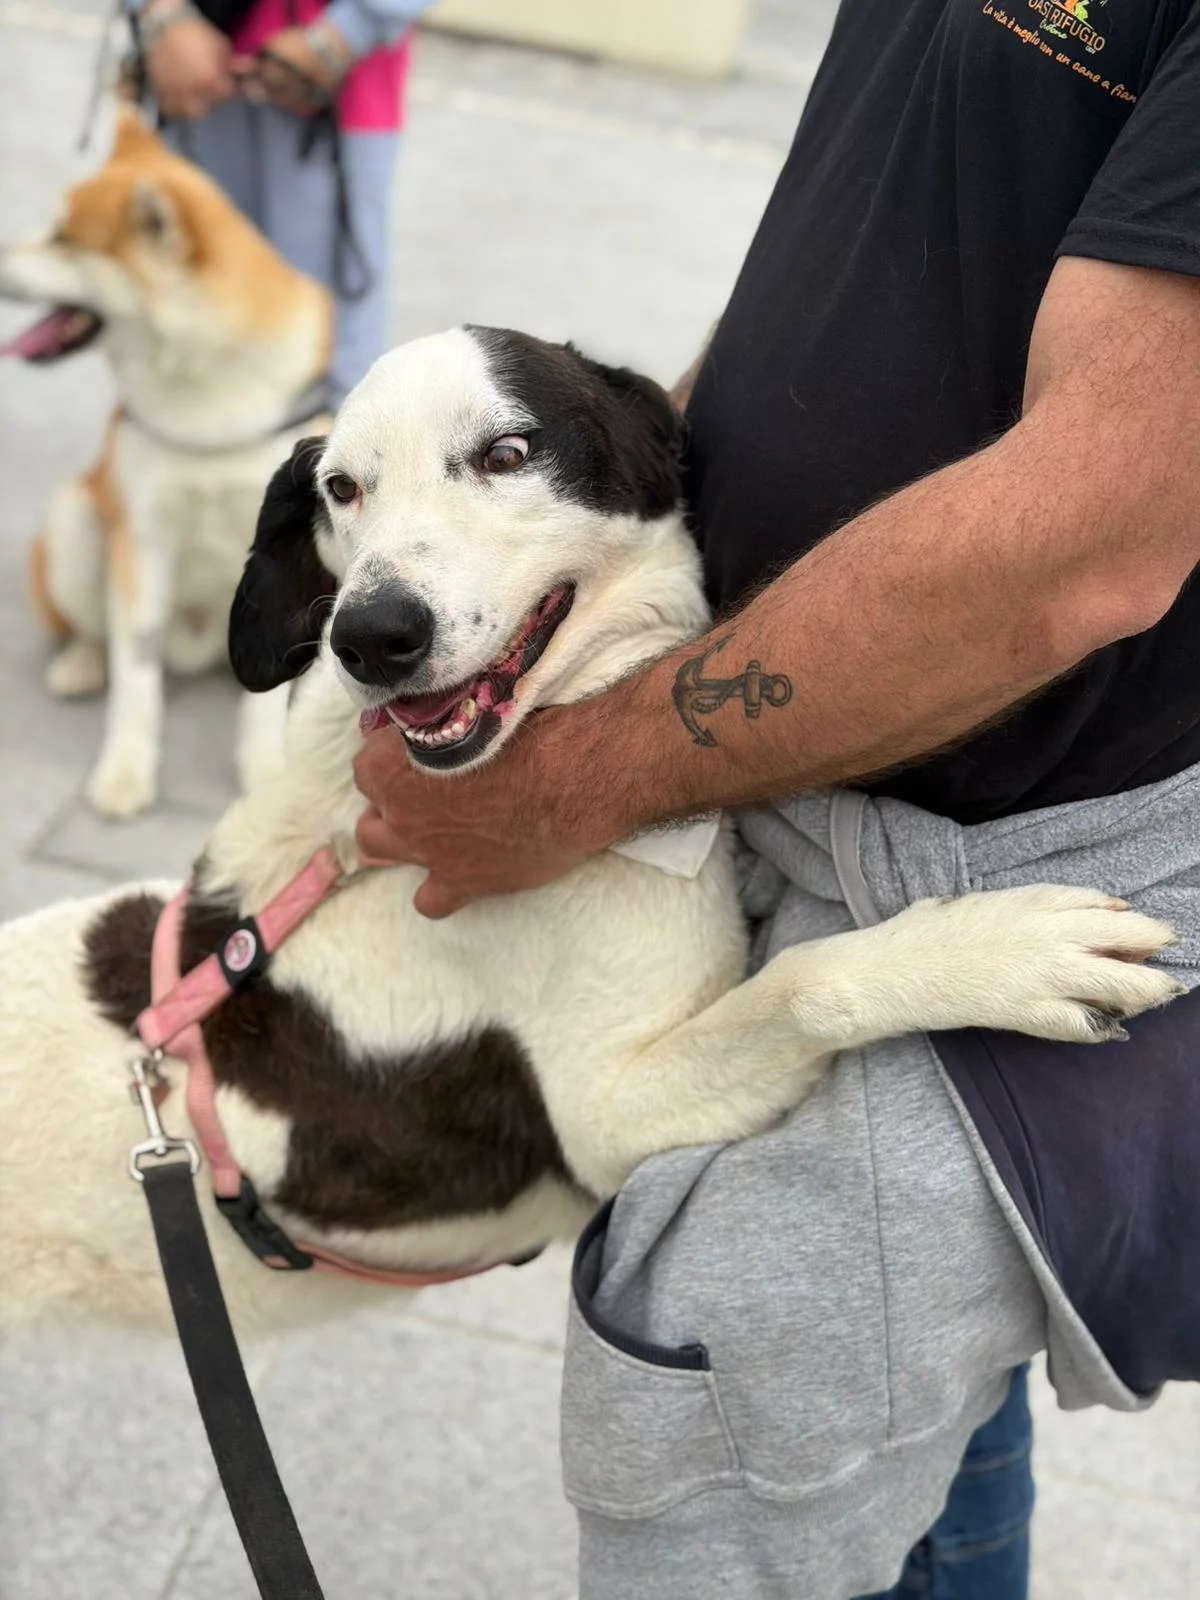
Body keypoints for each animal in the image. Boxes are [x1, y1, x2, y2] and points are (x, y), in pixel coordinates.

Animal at [0, 106, 333, 819]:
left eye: (65, 240)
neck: (206, 394)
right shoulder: (142, 537)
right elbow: (135, 676)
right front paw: (124, 773)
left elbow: (261, 709)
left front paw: (265, 771)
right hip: (77, 521)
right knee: (92, 632)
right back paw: (80, 663)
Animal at [0, 327, 1183, 1338]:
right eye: (343, 488)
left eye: (509, 451)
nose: (369, 635)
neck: (367, 843)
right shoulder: (608, 1115)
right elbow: (808, 982)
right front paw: (1007, 952)